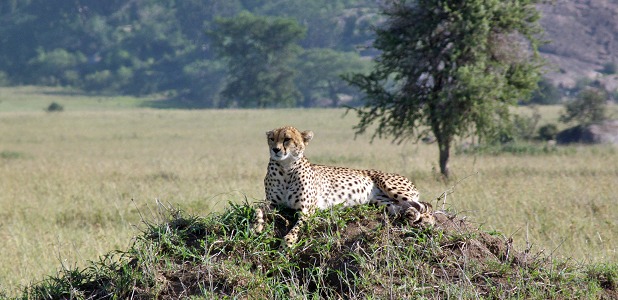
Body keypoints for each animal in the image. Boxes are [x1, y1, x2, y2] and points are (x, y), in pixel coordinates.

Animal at [255, 125, 434, 247]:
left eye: (287, 139)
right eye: (272, 138)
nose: (276, 149)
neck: (286, 168)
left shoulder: (307, 209)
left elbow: (296, 228)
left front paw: (288, 242)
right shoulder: (273, 203)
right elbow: (258, 208)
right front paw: (256, 227)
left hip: (390, 185)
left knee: (426, 209)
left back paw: (424, 221)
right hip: (382, 202)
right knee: (405, 207)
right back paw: (411, 214)